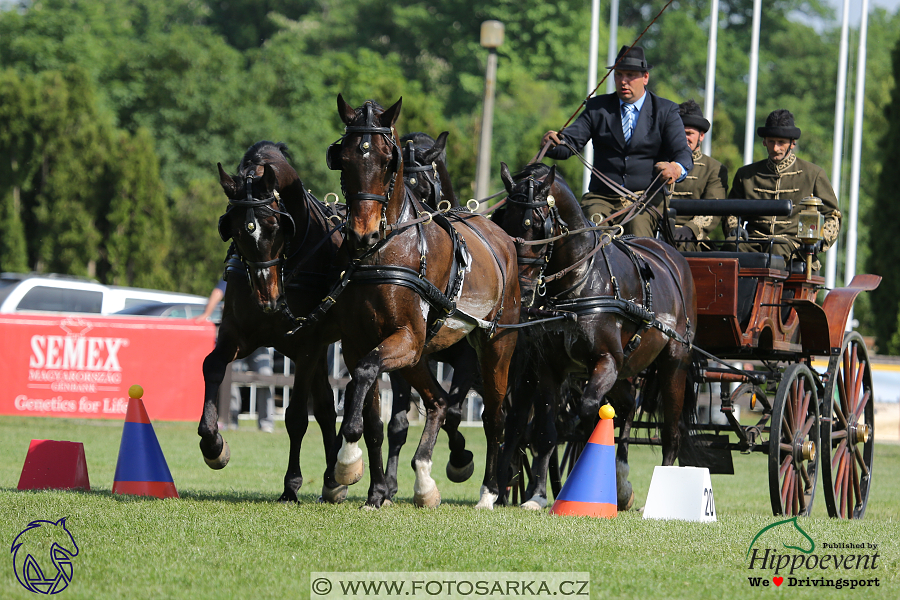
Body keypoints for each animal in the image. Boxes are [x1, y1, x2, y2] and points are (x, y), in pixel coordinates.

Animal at [198, 139, 348, 502]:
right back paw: (332, 480)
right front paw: (214, 445)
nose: (268, 298)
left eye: (277, 227)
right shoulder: (237, 336)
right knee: (326, 407)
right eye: (236, 231)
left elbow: (295, 417)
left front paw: (291, 486)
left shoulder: (307, 344)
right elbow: (213, 366)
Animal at [326, 96, 520, 508]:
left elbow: (364, 377)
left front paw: (346, 462)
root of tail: (503, 238)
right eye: (343, 157)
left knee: (495, 416)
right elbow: (373, 414)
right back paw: (424, 481)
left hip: (495, 345)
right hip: (418, 358)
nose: (362, 234)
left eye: (388, 161)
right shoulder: (358, 344)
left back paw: (489, 491)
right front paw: (373, 489)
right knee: (439, 402)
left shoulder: (407, 339)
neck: (384, 252)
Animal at [492, 162, 696, 508]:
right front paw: (537, 495)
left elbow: (589, 410)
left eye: (536, 224)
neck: (579, 284)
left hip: (673, 363)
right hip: (627, 368)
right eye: (503, 220)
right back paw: (621, 481)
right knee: (627, 406)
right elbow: (547, 431)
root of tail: (672, 255)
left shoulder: (606, 361)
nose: (522, 290)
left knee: (671, 432)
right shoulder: (550, 368)